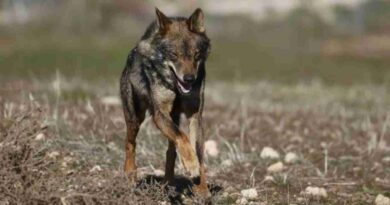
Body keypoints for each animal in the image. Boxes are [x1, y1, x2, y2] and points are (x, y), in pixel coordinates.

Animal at [119, 8, 210, 197]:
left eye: (196, 55)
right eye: (174, 55)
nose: (189, 79)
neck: (175, 88)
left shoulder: (195, 116)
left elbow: (198, 154)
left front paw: (202, 188)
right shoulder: (159, 114)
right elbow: (182, 137)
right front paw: (191, 165)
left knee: (171, 151)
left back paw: (168, 185)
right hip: (135, 118)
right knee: (130, 143)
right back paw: (130, 174)